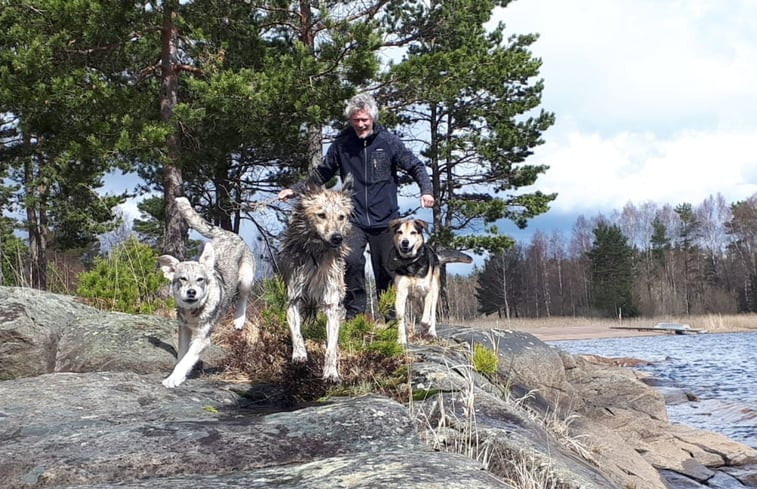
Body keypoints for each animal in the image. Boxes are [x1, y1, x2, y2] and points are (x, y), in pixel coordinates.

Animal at [158, 196, 255, 386]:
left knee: (243, 297)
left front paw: (173, 379)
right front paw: (178, 375)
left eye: (200, 280)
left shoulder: (203, 338)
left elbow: (186, 359)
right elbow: (182, 357)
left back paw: (239, 320)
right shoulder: (184, 330)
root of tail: (227, 233)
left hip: (246, 280)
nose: (191, 292)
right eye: (182, 279)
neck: (193, 313)